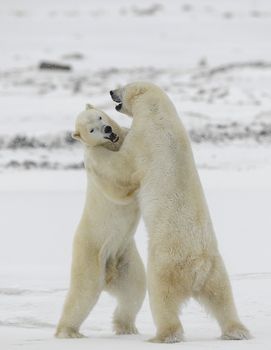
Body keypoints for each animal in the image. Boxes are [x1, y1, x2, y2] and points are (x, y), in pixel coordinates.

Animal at [55, 104, 147, 340]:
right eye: (91, 130)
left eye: (99, 116)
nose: (107, 129)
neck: (112, 144)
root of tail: (109, 275)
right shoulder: (97, 160)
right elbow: (117, 183)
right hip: (90, 253)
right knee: (83, 293)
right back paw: (68, 331)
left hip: (124, 257)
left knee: (134, 289)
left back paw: (127, 327)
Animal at [87, 83, 253, 344]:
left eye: (124, 86)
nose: (111, 91)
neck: (159, 113)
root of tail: (197, 267)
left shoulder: (142, 141)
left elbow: (122, 171)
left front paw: (95, 153)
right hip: (216, 270)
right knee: (223, 299)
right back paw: (238, 330)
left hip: (165, 266)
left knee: (161, 299)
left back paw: (163, 335)